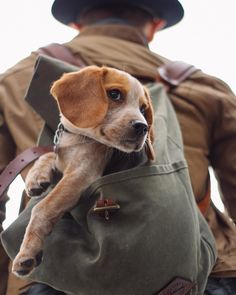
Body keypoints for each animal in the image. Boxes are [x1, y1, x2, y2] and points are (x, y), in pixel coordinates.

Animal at [12, 65, 155, 278]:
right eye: (114, 94)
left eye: (143, 109)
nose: (143, 127)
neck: (77, 138)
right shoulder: (62, 156)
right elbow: (48, 155)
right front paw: (36, 177)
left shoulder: (81, 174)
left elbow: (41, 209)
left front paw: (27, 251)